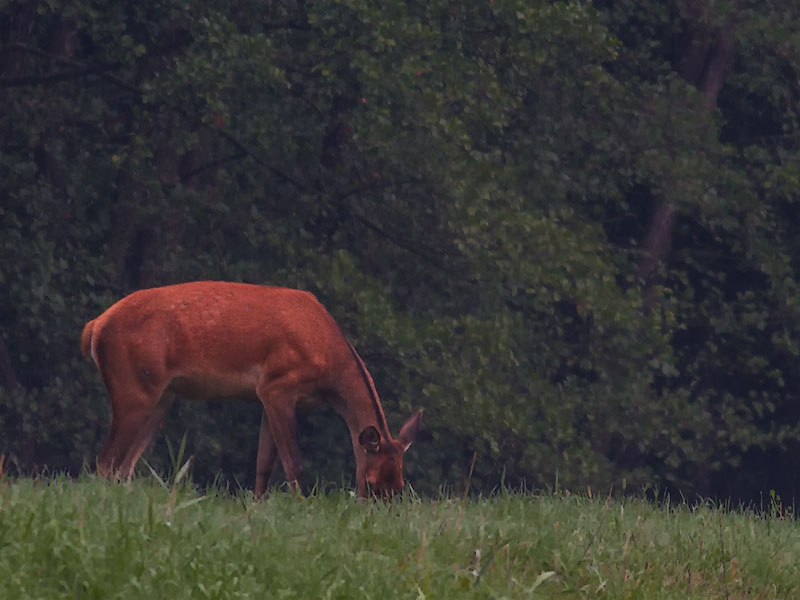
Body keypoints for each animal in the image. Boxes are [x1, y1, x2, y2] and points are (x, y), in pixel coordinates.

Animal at [78, 282, 422, 496]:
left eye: (400, 486)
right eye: (371, 482)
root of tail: (94, 327)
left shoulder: (267, 397)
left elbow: (263, 466)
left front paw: (257, 509)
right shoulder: (278, 384)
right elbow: (293, 463)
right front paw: (301, 505)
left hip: (162, 395)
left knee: (123, 467)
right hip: (134, 386)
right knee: (105, 463)